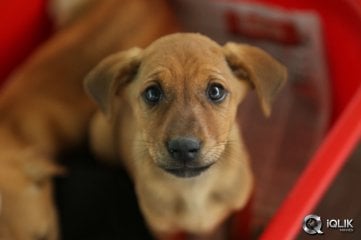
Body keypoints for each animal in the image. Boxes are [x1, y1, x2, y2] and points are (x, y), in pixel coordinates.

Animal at [85, 32, 286, 238]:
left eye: (216, 91)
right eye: (152, 93)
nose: (183, 148)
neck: (194, 188)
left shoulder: (245, 202)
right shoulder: (164, 230)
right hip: (100, 136)